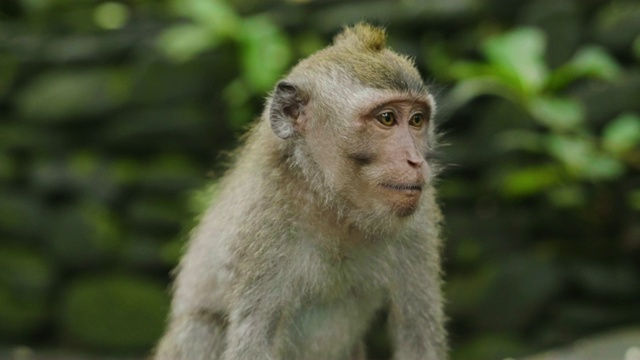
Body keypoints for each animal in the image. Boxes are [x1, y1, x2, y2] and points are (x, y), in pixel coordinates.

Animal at [153, 23, 448, 360]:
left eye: (416, 120)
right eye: (386, 118)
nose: (416, 160)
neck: (333, 205)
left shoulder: (419, 221)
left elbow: (418, 335)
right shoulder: (264, 224)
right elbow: (255, 342)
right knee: (200, 329)